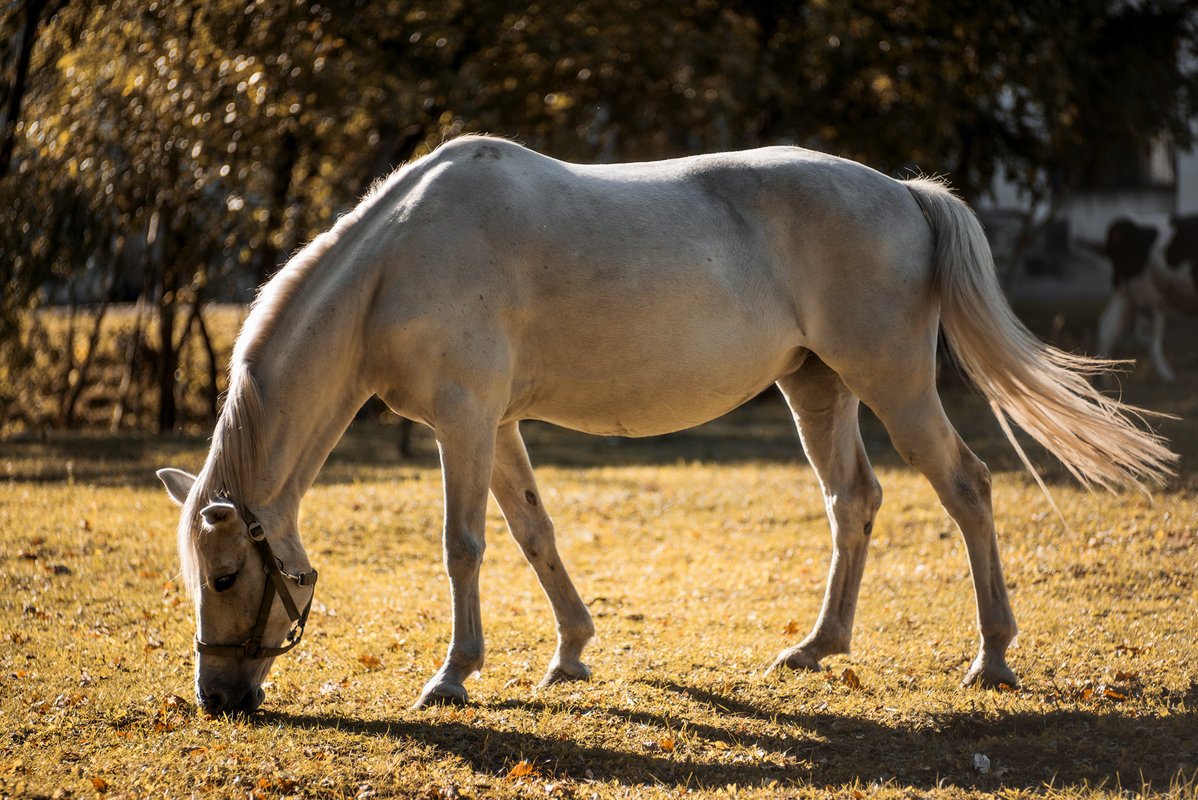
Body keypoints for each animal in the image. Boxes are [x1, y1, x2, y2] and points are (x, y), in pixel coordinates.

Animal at [154, 134, 1174, 713]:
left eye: (229, 572)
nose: (218, 698)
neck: (397, 261)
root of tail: (906, 192)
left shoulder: (464, 421)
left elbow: (464, 545)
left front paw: (452, 677)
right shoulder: (498, 427)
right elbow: (534, 532)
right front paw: (569, 655)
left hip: (894, 385)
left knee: (965, 488)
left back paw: (992, 659)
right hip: (818, 388)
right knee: (853, 502)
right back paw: (817, 648)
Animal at [1097, 214, 1198, 380]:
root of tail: (1130, 225)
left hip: (1126, 294)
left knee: (1108, 328)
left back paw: (1102, 379)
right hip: (1150, 297)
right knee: (1150, 340)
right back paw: (1167, 376)